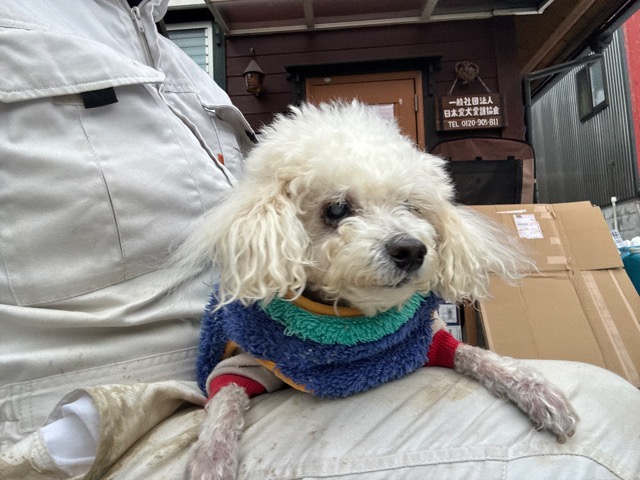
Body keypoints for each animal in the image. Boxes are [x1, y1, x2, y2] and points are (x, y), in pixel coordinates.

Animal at [180, 101, 578, 480]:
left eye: (410, 206)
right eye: (337, 209)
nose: (412, 250)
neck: (352, 317)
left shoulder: (427, 340)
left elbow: (477, 355)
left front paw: (538, 392)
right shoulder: (245, 363)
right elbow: (226, 398)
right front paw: (211, 458)